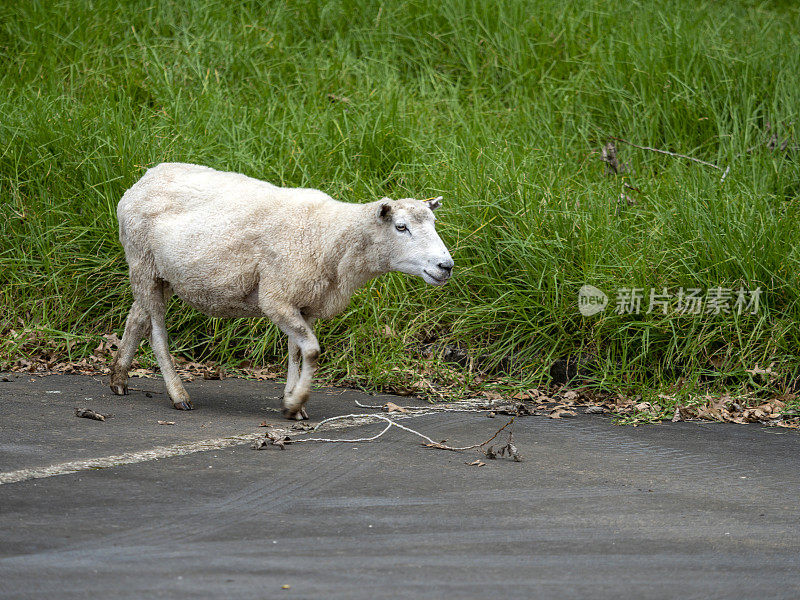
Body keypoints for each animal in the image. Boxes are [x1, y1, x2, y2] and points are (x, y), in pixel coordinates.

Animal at [109, 162, 454, 420]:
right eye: (400, 227)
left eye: (434, 223)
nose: (446, 265)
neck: (329, 236)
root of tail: (145, 178)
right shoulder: (276, 297)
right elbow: (312, 350)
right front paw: (295, 402)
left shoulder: (304, 301)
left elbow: (296, 351)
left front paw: (291, 398)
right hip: (142, 262)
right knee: (157, 334)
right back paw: (177, 394)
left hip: (159, 274)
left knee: (136, 318)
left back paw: (118, 378)